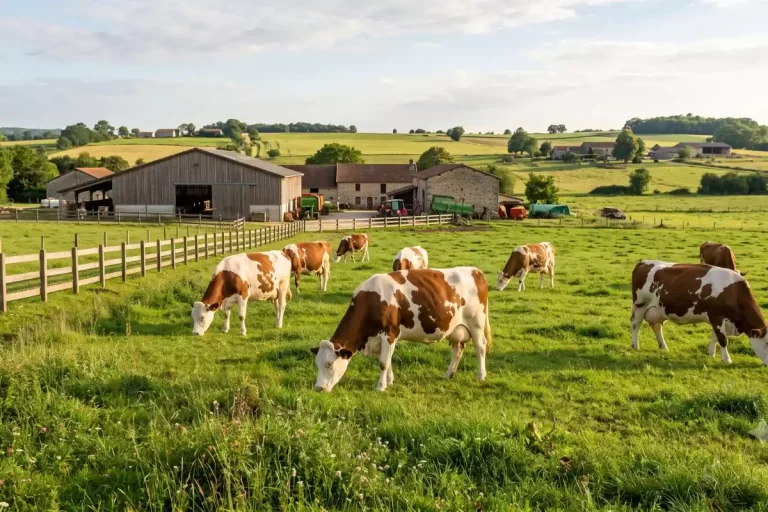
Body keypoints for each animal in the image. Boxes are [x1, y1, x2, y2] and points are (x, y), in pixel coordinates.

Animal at [311, 267, 491, 392]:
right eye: (317, 364)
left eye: (329, 364)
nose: (319, 388)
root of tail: (475, 270)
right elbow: (387, 361)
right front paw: (389, 381)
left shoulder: (389, 334)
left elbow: (383, 363)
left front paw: (380, 387)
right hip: (455, 329)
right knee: (457, 350)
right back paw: (449, 374)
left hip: (476, 322)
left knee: (480, 347)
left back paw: (481, 375)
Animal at [631, 260, 768, 365]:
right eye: (767, 343)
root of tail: (643, 262)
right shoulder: (717, 317)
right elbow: (722, 339)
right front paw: (727, 359)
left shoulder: (717, 320)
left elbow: (714, 337)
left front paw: (711, 353)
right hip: (640, 305)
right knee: (635, 325)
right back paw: (635, 346)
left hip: (658, 310)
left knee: (657, 327)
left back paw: (663, 347)